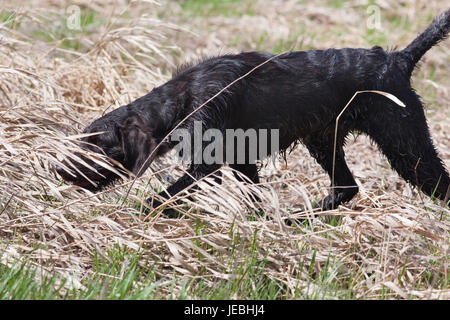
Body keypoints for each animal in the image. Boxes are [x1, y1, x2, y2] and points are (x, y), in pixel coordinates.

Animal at [57, 9, 450, 215]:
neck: (183, 99)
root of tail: (398, 59)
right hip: (324, 141)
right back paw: (296, 219)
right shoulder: (241, 160)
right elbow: (252, 196)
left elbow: (162, 197)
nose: (59, 170)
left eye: (96, 146)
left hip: (407, 148)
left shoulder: (207, 166)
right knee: (345, 188)